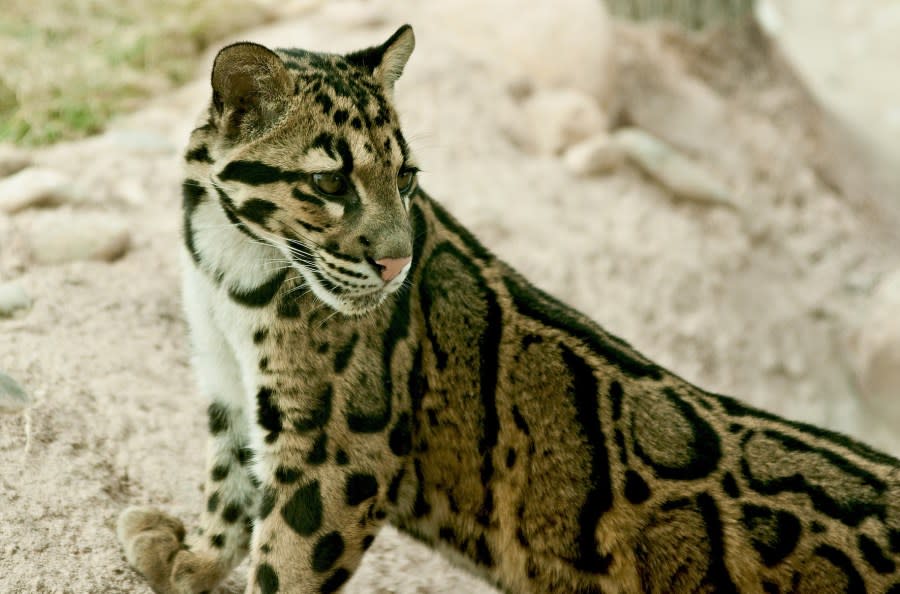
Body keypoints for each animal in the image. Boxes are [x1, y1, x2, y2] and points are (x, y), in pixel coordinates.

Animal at [118, 24, 900, 592]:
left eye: (406, 175)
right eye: (333, 182)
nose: (396, 263)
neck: (229, 265)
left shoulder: (339, 453)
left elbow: (287, 562)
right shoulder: (229, 384)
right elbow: (230, 482)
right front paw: (197, 560)